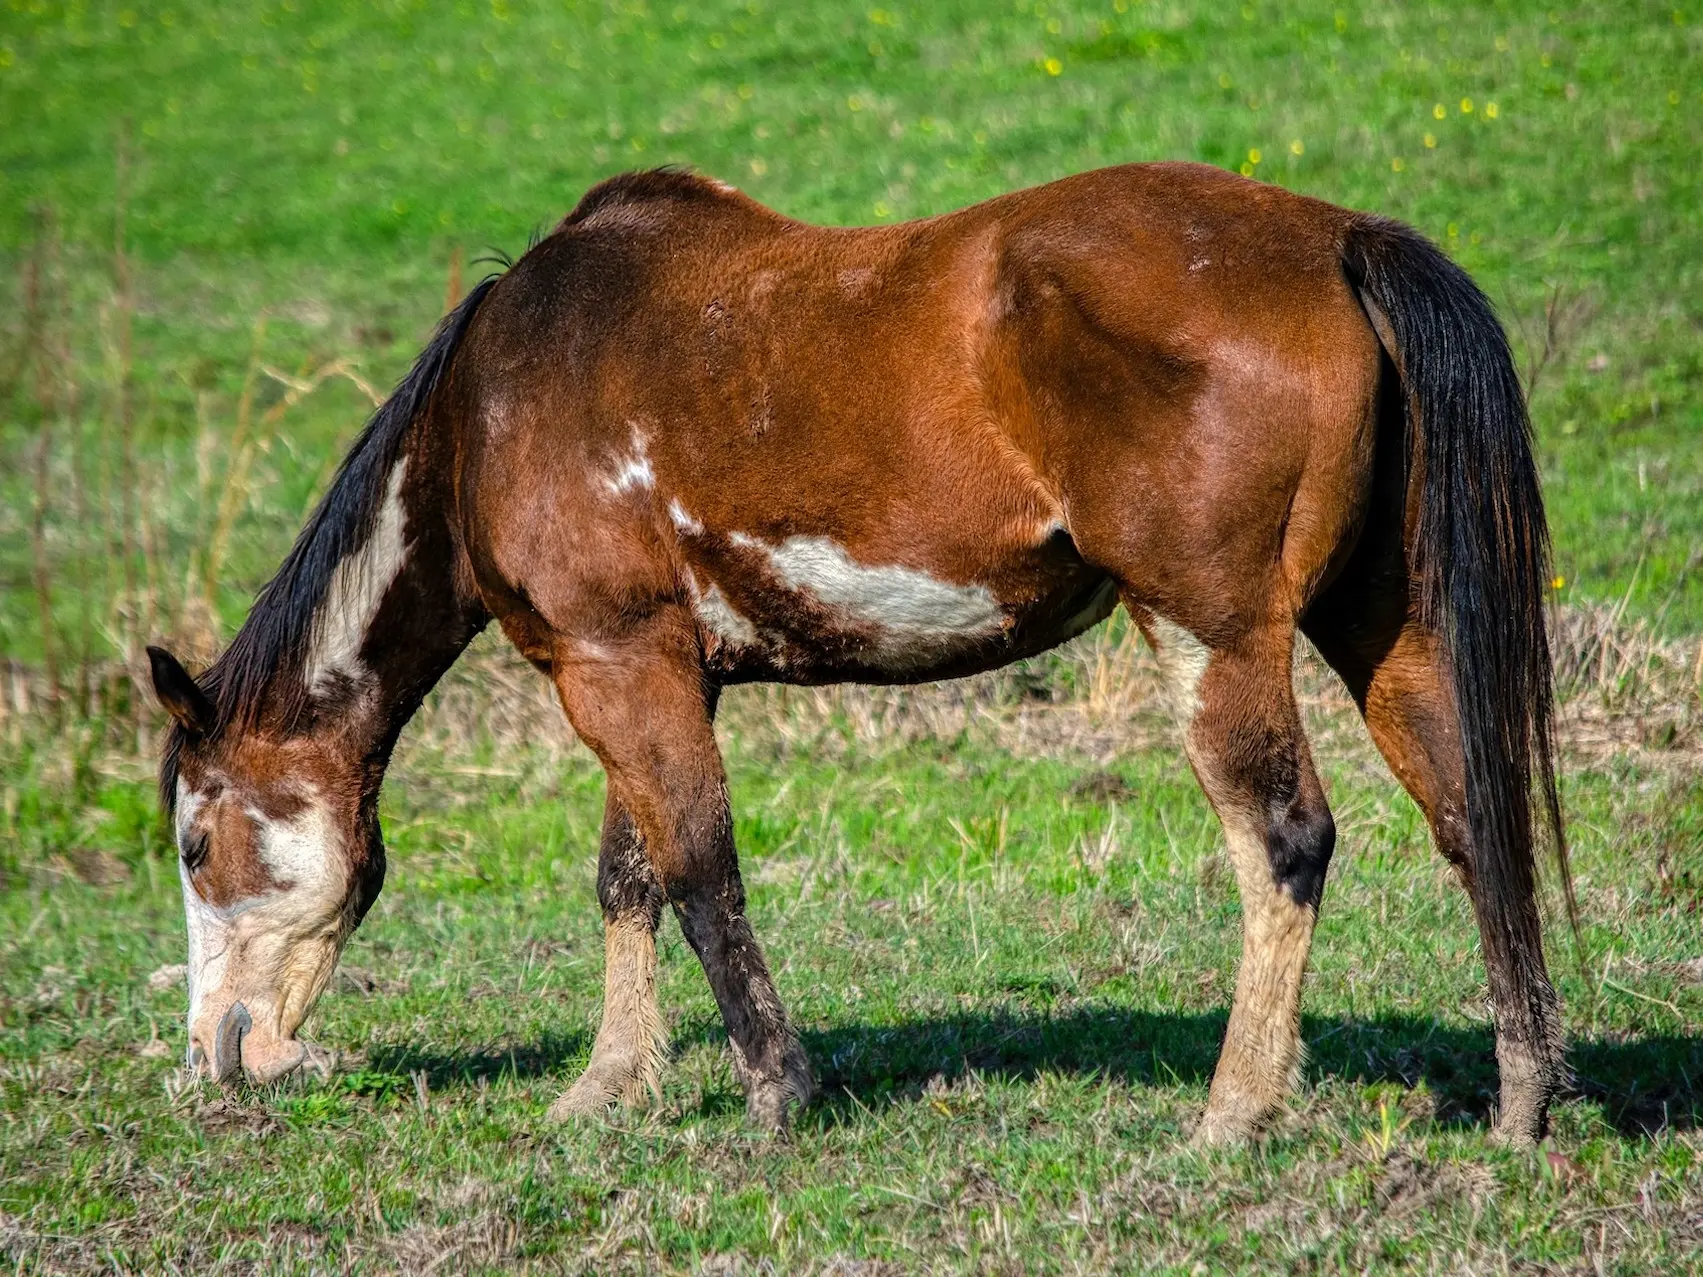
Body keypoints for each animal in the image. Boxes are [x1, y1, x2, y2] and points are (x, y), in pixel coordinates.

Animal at [146, 162, 1566, 1151]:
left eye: (195, 843)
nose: (215, 1056)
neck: (489, 410)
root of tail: (1332, 239)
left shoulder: (618, 668)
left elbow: (698, 870)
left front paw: (775, 1092)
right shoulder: (642, 669)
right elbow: (627, 877)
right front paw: (608, 1085)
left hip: (1212, 634)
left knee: (1283, 839)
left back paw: (1231, 1108)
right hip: (1381, 627)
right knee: (1469, 814)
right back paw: (1521, 1099)